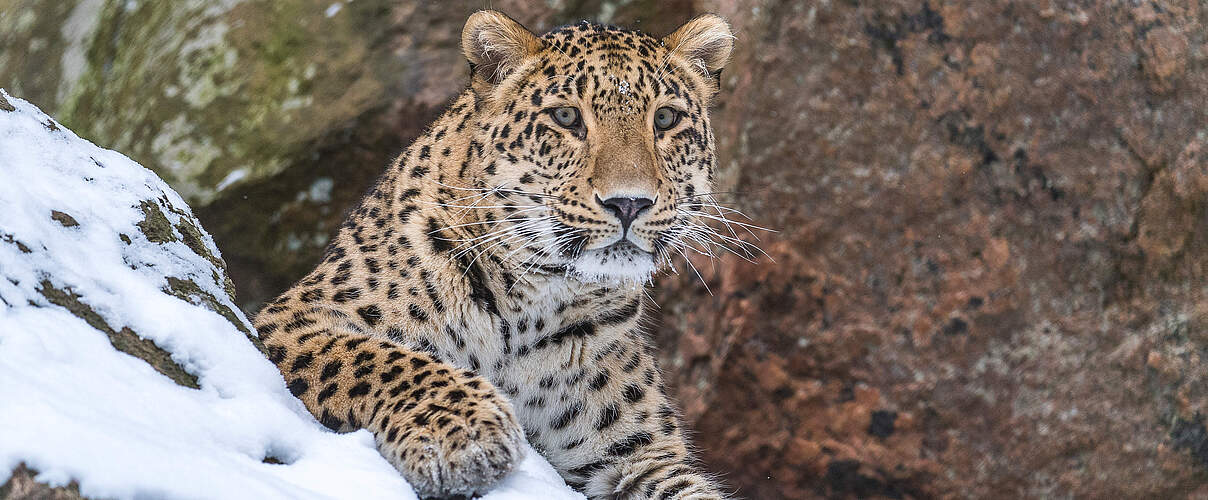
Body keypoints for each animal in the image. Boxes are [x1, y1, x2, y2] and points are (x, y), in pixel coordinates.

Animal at [253, 10, 740, 499]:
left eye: (665, 119)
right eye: (567, 117)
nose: (629, 203)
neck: (535, 304)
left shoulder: (639, 459)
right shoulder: (297, 315)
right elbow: (382, 360)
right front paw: (463, 433)